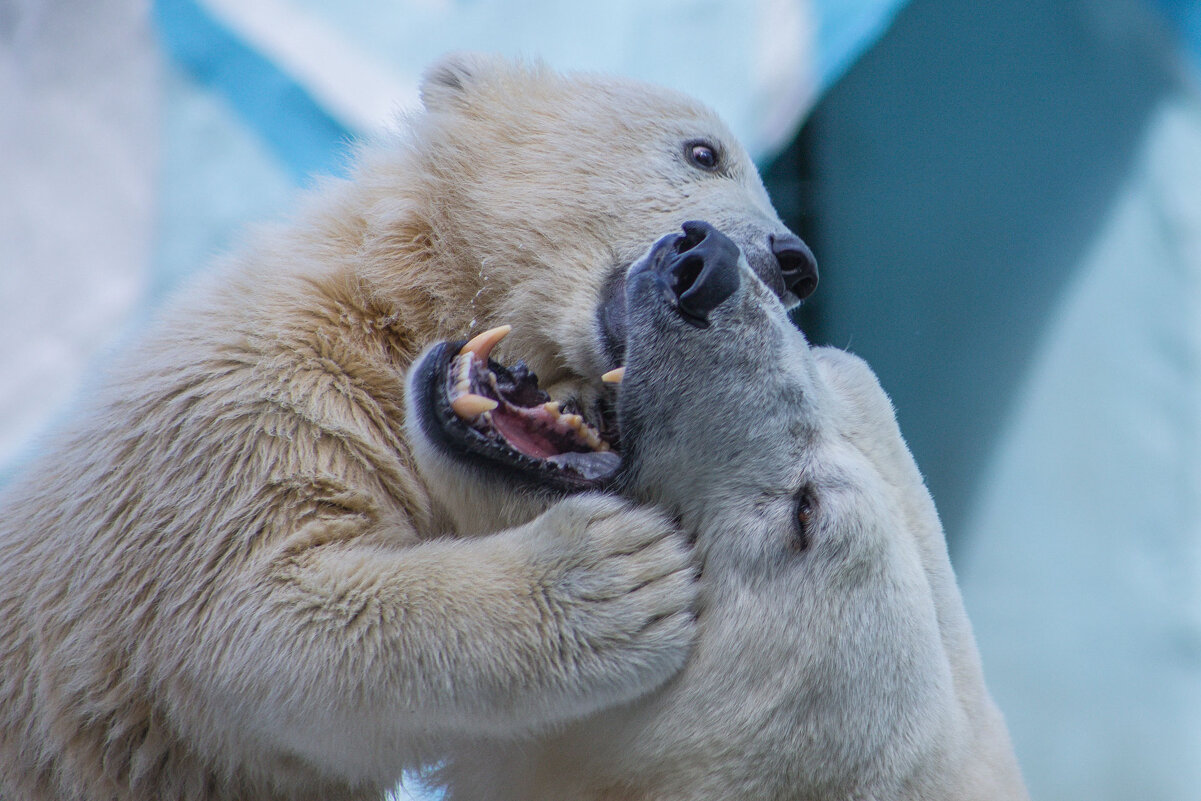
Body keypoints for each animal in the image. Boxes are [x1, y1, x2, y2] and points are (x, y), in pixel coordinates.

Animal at [0, 56, 816, 801]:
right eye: (702, 151)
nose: (793, 262)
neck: (393, 312)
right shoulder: (253, 402)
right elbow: (256, 609)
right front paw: (621, 572)